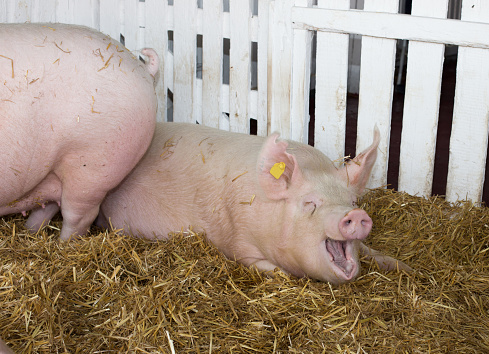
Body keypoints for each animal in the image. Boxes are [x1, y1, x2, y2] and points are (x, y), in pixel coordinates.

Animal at [0, 22, 158, 241]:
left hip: (92, 168)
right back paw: (31, 232)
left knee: (77, 217)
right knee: (47, 207)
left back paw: (62, 243)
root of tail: (141, 66)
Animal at [97, 123, 410, 284]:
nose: (354, 214)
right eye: (310, 203)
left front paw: (404, 267)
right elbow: (271, 269)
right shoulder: (237, 242)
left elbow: (370, 251)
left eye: (352, 199)